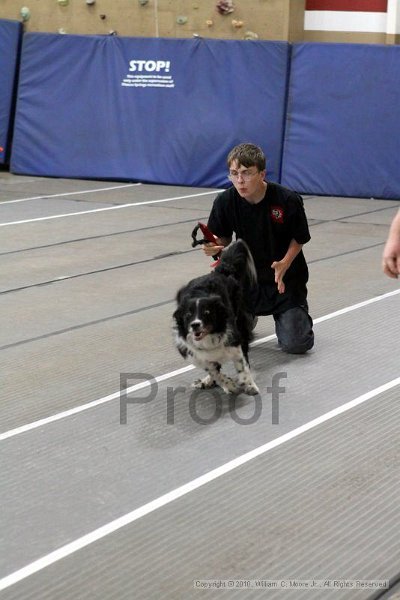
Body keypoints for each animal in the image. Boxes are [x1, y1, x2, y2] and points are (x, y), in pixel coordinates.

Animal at [173, 239, 260, 398]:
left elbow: (242, 366)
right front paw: (228, 385)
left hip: (241, 323)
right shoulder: (199, 355)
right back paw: (208, 381)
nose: (195, 325)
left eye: (207, 312)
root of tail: (221, 271)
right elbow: (215, 372)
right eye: (188, 315)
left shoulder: (234, 341)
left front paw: (249, 385)